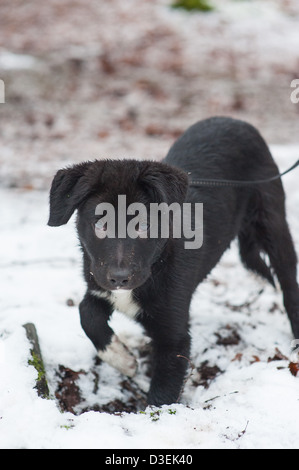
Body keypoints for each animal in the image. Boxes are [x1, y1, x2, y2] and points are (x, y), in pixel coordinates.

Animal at [48, 116, 298, 404]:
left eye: (144, 225)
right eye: (100, 224)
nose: (120, 278)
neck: (156, 264)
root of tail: (234, 120)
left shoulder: (174, 336)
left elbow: (163, 392)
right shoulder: (98, 283)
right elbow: (86, 312)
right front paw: (122, 359)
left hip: (273, 223)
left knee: (289, 283)